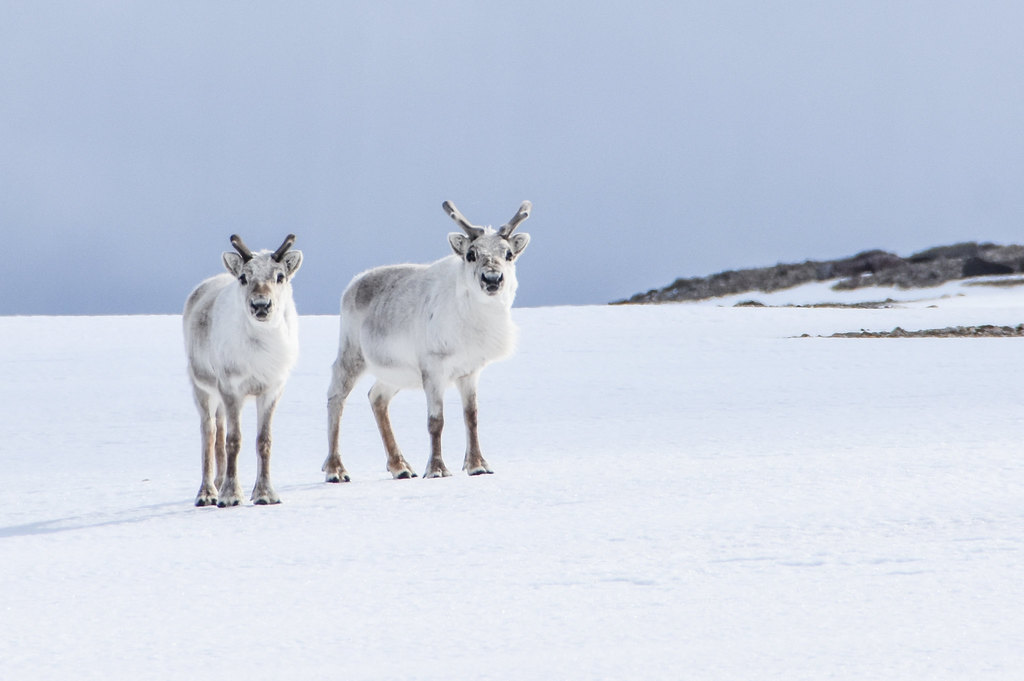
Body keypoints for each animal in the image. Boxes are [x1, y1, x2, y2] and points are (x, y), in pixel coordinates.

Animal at [183, 234, 302, 507]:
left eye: (280, 276)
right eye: (243, 277)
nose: (261, 305)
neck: (261, 348)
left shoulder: (271, 389)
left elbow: (264, 441)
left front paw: (265, 494)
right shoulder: (231, 389)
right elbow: (233, 441)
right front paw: (230, 495)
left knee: (218, 429)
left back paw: (217, 484)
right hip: (201, 388)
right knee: (209, 433)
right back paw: (207, 492)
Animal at [323, 200, 532, 482]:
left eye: (508, 254)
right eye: (471, 254)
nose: (492, 279)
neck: (475, 320)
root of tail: (352, 285)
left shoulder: (469, 371)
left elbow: (471, 417)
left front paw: (478, 465)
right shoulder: (433, 368)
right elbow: (436, 421)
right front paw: (436, 468)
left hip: (396, 373)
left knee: (377, 397)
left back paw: (400, 466)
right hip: (351, 354)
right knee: (336, 397)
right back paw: (336, 469)